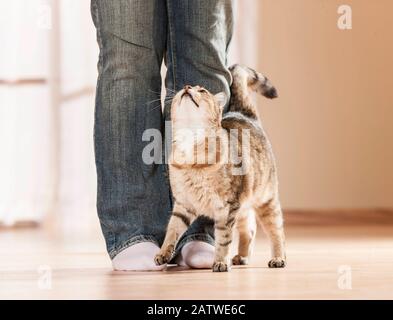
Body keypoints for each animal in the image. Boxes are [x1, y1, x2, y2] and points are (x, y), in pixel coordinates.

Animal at [155, 63, 286, 272]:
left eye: (202, 90)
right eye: (186, 87)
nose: (186, 86)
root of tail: (243, 114)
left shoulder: (227, 207)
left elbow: (223, 239)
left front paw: (220, 262)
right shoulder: (183, 204)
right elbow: (172, 231)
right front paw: (163, 253)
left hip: (266, 201)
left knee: (277, 232)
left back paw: (278, 258)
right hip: (244, 204)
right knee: (249, 229)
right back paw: (242, 256)